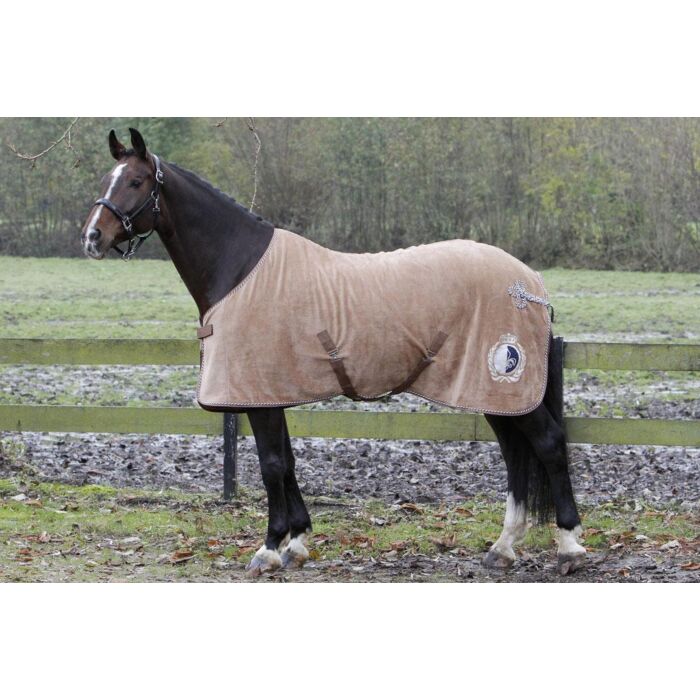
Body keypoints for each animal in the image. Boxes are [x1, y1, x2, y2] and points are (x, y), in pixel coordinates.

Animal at [80, 128, 586, 577]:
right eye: (107, 178)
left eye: (136, 181)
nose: (92, 238)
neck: (240, 268)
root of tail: (530, 282)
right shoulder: (272, 393)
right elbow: (287, 463)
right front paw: (297, 543)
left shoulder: (260, 396)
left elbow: (271, 466)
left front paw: (268, 550)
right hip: (492, 393)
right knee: (516, 456)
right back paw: (503, 548)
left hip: (506, 382)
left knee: (548, 443)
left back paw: (569, 546)